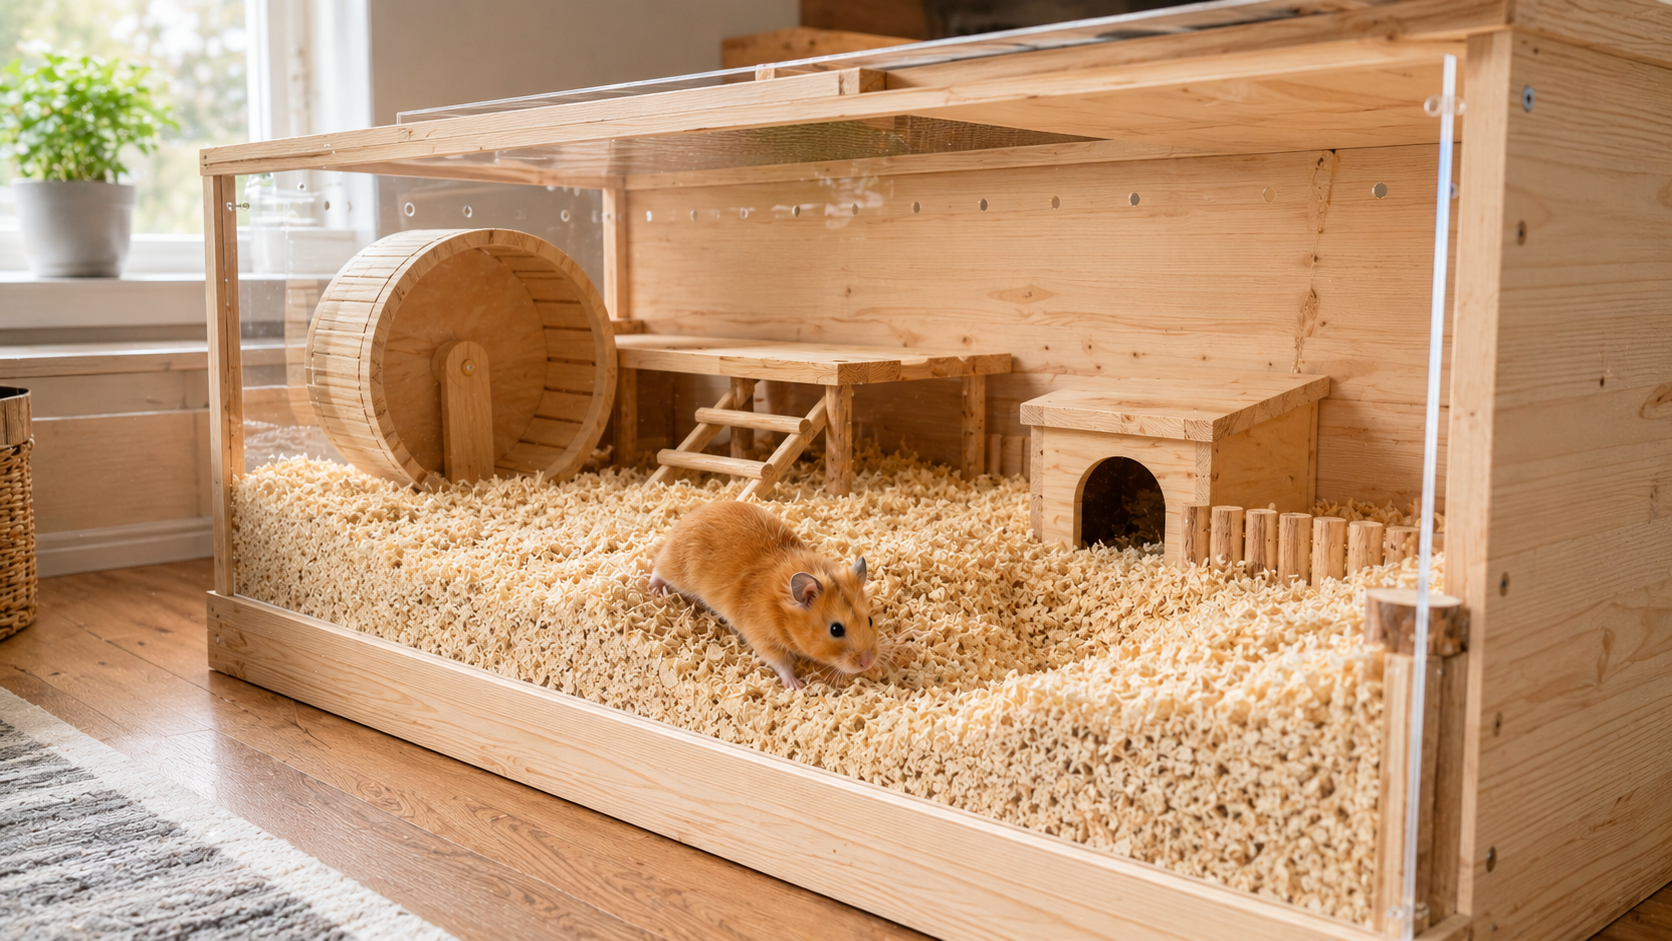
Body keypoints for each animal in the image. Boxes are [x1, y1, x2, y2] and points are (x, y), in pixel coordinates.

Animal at [648, 500, 876, 690]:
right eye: (836, 629)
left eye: (870, 620)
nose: (868, 662)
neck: (782, 613)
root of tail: (681, 523)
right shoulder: (762, 637)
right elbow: (780, 663)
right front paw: (797, 686)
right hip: (678, 571)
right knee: (658, 566)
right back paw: (655, 591)